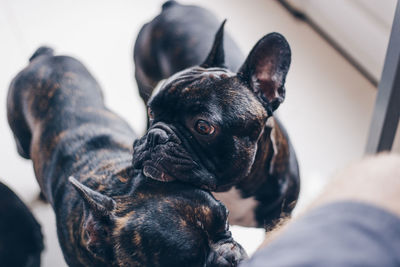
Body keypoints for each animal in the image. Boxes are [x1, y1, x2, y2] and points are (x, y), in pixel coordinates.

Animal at [7, 47, 245, 266]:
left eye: (226, 222)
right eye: (188, 263)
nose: (231, 258)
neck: (118, 184)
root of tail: (44, 57)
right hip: (21, 144)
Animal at [134, 1, 300, 228]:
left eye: (203, 127)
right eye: (153, 111)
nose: (155, 136)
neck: (233, 190)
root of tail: (173, 6)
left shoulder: (278, 219)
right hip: (143, 77)